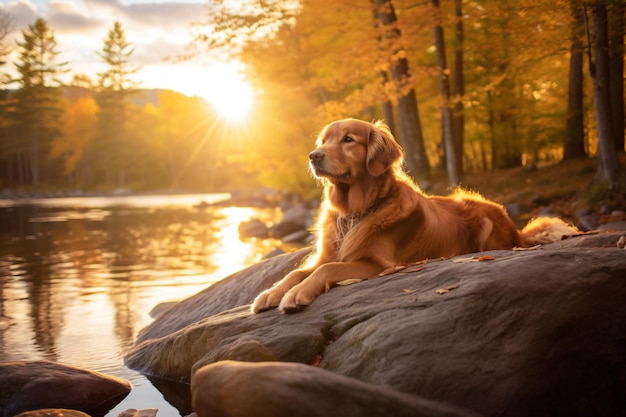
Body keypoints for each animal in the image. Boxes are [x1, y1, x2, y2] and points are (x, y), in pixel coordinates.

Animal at [250, 117, 580, 312]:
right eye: (323, 141)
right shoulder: (328, 254)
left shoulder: (375, 263)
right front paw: (270, 293)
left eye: (348, 140)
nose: (313, 156)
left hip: (486, 224)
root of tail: (515, 228)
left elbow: (325, 271)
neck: (357, 210)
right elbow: (296, 271)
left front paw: (295, 295)